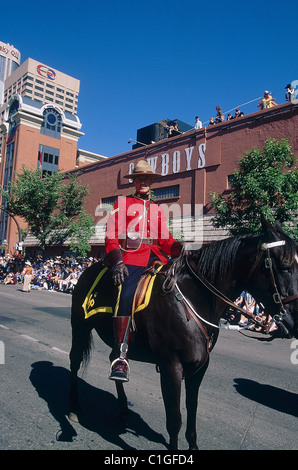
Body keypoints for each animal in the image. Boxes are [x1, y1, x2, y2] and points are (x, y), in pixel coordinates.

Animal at [69, 218, 298, 450]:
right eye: (285, 265)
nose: (293, 320)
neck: (194, 299)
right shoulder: (171, 366)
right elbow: (174, 418)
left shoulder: (199, 366)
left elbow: (192, 408)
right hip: (79, 327)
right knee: (75, 361)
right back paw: (74, 407)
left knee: (114, 357)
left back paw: (123, 409)